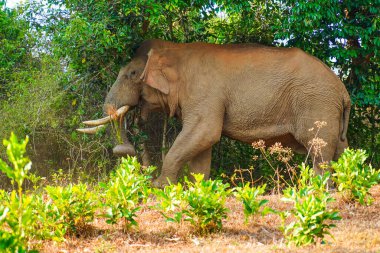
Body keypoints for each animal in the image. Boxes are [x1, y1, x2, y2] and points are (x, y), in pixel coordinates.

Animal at [77, 38, 350, 187]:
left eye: (132, 74)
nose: (123, 149)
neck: (176, 50)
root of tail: (343, 90)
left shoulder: (204, 92)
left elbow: (205, 132)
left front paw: (158, 186)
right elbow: (202, 146)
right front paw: (198, 187)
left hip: (317, 103)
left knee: (320, 148)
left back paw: (319, 189)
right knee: (340, 148)